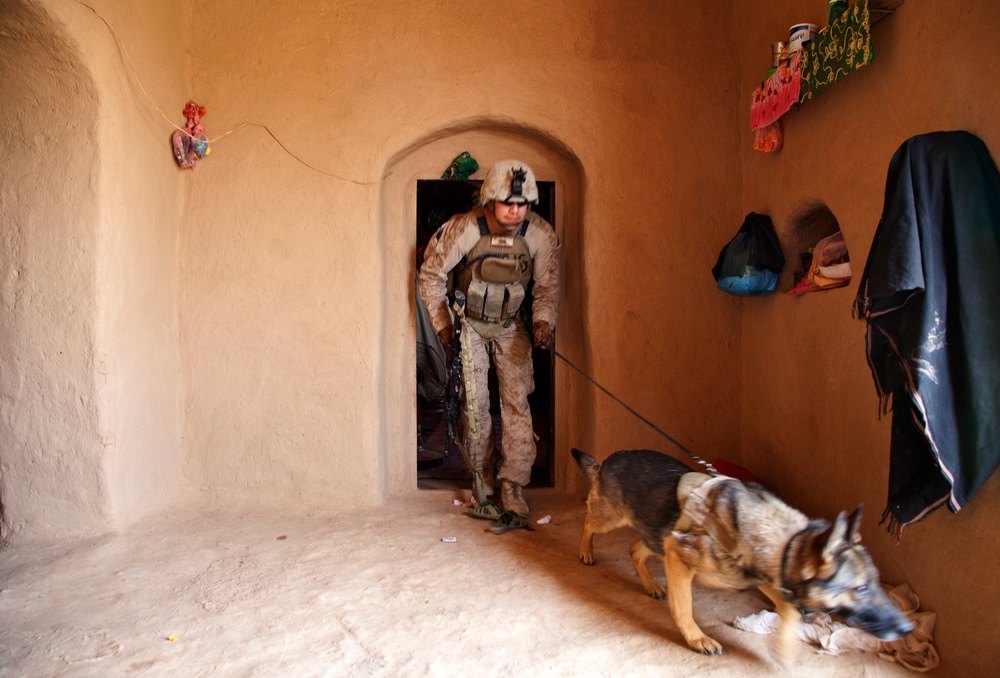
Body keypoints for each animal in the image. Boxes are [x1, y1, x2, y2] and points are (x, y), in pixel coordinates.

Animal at [572, 452, 916, 664]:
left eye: (875, 583)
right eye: (861, 588)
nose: (908, 628)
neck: (786, 544)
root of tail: (609, 460)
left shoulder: (756, 575)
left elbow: (789, 611)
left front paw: (784, 648)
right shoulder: (680, 559)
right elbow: (684, 609)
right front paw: (697, 639)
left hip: (658, 535)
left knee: (635, 550)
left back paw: (651, 584)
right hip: (613, 519)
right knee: (588, 520)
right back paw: (586, 550)